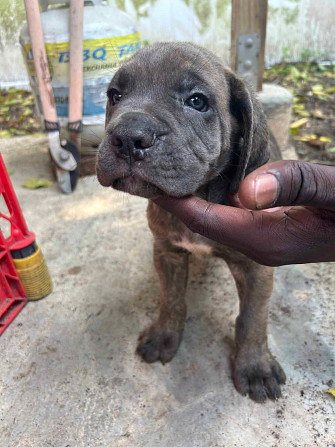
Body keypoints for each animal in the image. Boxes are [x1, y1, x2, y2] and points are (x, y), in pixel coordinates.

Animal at [96, 43, 286, 406]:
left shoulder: (257, 268)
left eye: (197, 101)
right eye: (115, 95)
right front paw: (164, 336)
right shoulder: (167, 251)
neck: (199, 193)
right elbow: (171, 299)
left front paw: (255, 366)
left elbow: (253, 318)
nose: (127, 136)